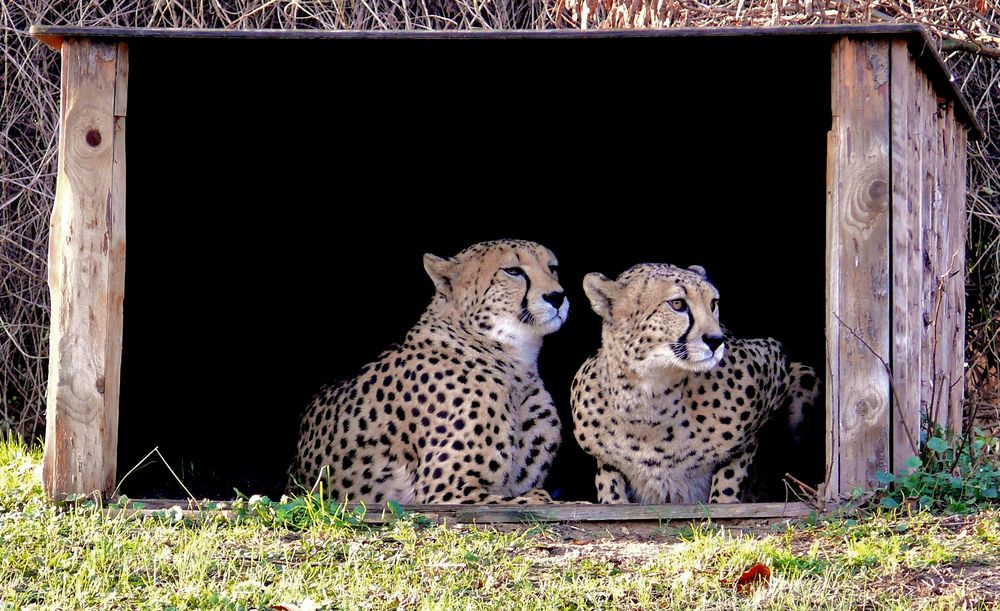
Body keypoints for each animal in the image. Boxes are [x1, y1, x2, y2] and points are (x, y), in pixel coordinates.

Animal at [292, 241, 572, 504]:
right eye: (513, 271)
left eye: (552, 268)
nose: (557, 297)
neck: (516, 363)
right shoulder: (448, 491)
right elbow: (541, 497)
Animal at [572, 266, 820, 504]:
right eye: (677, 304)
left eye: (713, 303)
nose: (716, 340)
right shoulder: (602, 456)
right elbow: (609, 482)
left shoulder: (772, 359)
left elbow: (730, 475)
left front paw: (722, 500)